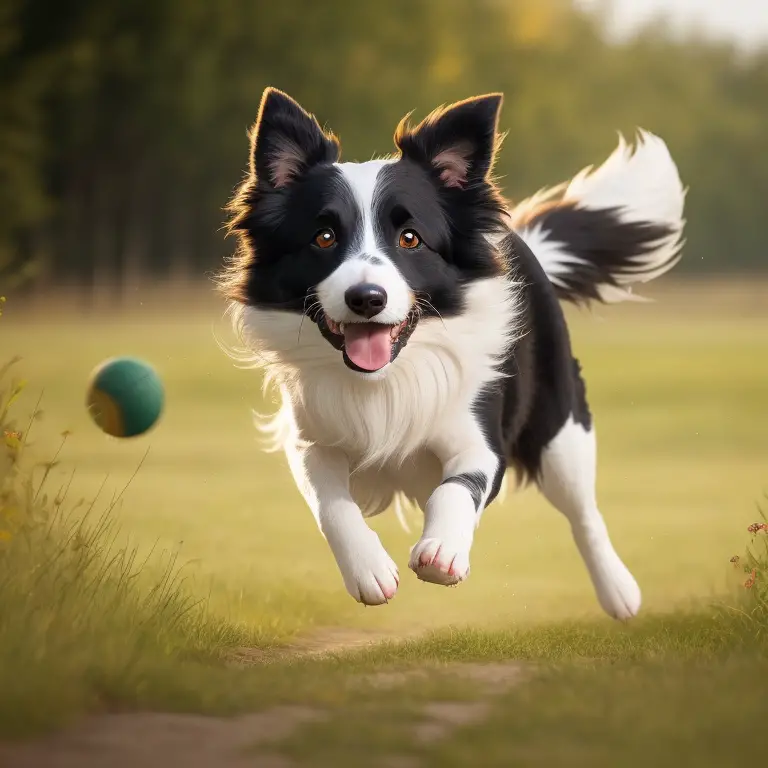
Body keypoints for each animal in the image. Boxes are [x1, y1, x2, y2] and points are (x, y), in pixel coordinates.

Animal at [219, 87, 688, 620]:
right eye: (324, 237)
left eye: (410, 238)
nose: (366, 298)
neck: (389, 376)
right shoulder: (309, 438)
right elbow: (331, 502)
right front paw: (368, 570)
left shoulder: (480, 437)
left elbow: (457, 488)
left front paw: (442, 551)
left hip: (560, 429)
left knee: (584, 511)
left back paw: (618, 591)